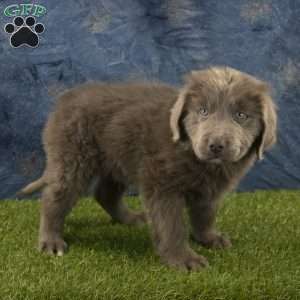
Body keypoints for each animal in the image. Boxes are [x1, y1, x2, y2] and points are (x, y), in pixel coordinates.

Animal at [18, 67, 276, 270]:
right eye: (202, 110)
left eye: (241, 115)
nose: (216, 146)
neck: (190, 152)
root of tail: (64, 100)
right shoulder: (162, 185)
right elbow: (171, 224)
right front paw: (183, 259)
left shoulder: (209, 191)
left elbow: (205, 215)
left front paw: (209, 238)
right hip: (73, 156)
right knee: (55, 196)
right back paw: (51, 241)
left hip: (118, 157)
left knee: (105, 193)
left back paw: (130, 218)